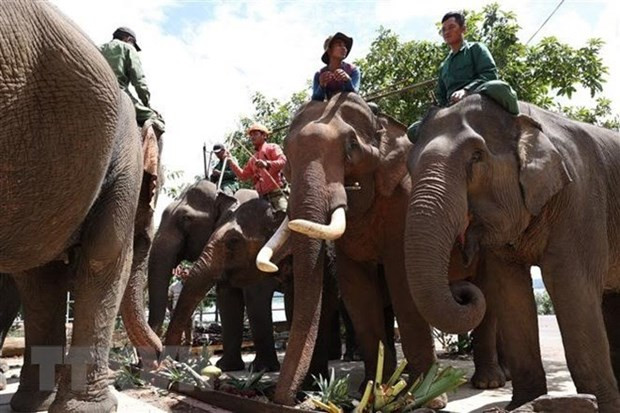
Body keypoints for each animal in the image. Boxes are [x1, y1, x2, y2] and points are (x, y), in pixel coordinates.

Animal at [1, 1, 160, 410]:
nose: (154, 363)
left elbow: (40, 277)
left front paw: (34, 404)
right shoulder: (124, 161)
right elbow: (106, 257)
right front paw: (91, 408)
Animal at [145, 180, 284, 370]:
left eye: (186, 219)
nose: (159, 364)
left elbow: (255, 296)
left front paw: (261, 369)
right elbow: (227, 297)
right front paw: (226, 367)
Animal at [256, 91, 504, 404]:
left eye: (351, 146)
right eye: (286, 155)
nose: (285, 399)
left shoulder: (405, 202)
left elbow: (404, 287)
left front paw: (427, 399)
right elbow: (358, 291)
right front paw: (372, 390)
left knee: (488, 294)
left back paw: (489, 381)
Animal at [404, 91, 620, 410]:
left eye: (476, 157)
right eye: (409, 166)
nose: (460, 289)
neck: (525, 117)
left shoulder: (580, 198)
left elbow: (570, 286)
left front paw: (600, 406)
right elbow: (510, 291)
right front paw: (525, 404)